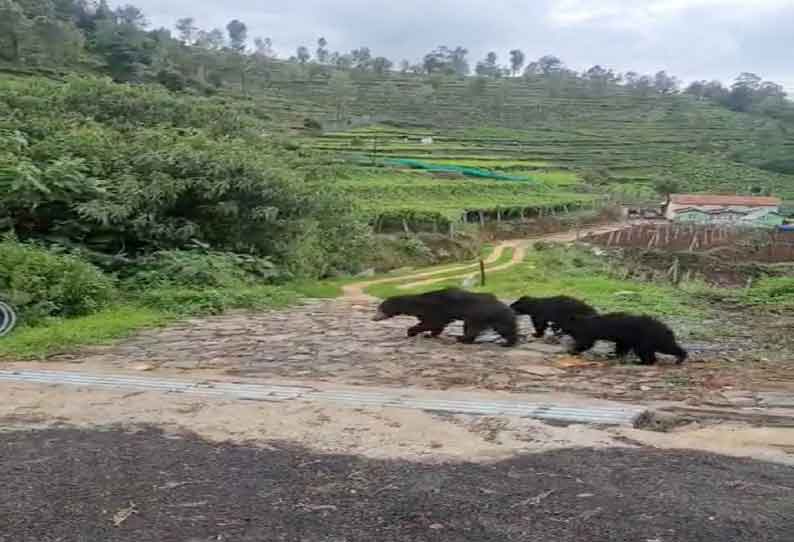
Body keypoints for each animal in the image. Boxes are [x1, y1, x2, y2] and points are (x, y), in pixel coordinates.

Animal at [372, 288, 516, 348]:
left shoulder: (434, 309)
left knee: (474, 328)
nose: (373, 318)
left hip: (479, 315)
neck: (417, 304)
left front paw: (411, 332)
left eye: (380, 309)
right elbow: (435, 324)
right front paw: (430, 335)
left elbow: (432, 322)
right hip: (486, 317)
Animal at [556, 314, 688, 366]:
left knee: (652, 350)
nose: (557, 332)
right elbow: (621, 346)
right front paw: (616, 355)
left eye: (561, 325)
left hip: (648, 338)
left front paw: (572, 350)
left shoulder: (589, 332)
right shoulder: (624, 339)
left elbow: (586, 343)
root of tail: (667, 329)